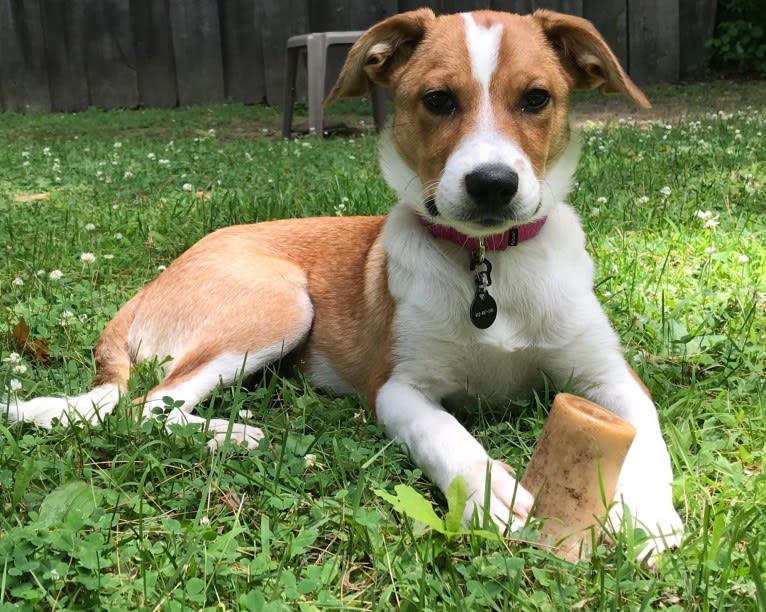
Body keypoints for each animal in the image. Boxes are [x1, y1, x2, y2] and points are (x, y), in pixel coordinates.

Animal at [4, 9, 684, 560]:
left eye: (537, 98)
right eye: (438, 100)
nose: (492, 184)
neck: (488, 264)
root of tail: (154, 282)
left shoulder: (611, 377)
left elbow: (646, 441)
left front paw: (650, 518)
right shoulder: (398, 387)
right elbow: (446, 434)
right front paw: (489, 489)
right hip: (279, 303)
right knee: (148, 404)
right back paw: (233, 433)